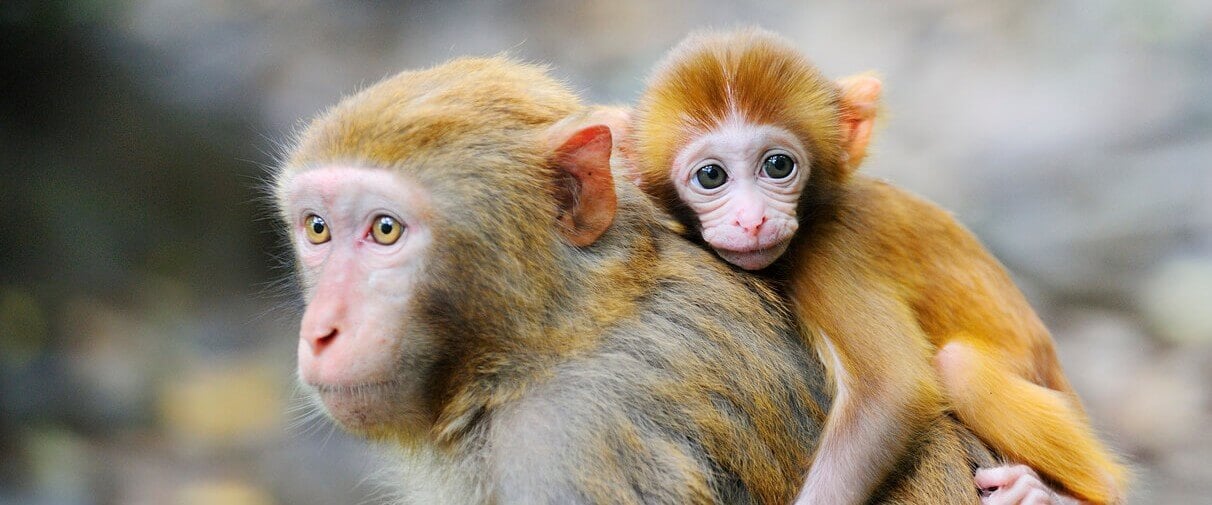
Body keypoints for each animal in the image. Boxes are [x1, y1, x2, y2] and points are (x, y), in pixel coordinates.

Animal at [625, 29, 1128, 504]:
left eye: (778, 165)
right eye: (711, 176)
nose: (752, 219)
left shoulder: (831, 251)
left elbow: (891, 391)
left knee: (960, 367)